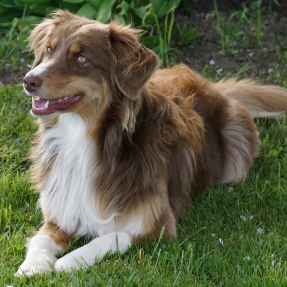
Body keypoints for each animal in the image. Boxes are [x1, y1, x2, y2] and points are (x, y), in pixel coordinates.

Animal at [16, 9, 287, 276]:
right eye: (49, 49)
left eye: (81, 58)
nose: (28, 80)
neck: (83, 139)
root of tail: (214, 87)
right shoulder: (60, 212)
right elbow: (40, 239)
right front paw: (33, 266)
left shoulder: (157, 226)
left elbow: (110, 238)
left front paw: (68, 262)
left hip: (236, 157)